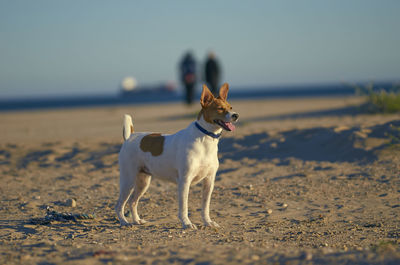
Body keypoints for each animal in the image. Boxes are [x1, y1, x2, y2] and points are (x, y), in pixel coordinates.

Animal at [115, 83, 239, 228]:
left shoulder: (209, 181)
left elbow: (205, 206)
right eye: (220, 108)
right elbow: (184, 207)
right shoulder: (184, 181)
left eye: (230, 107)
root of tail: (130, 137)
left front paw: (208, 222)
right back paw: (124, 222)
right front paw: (187, 223)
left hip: (143, 182)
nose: (236, 115)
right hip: (128, 181)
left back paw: (137, 220)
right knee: (119, 205)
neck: (205, 139)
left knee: (132, 202)